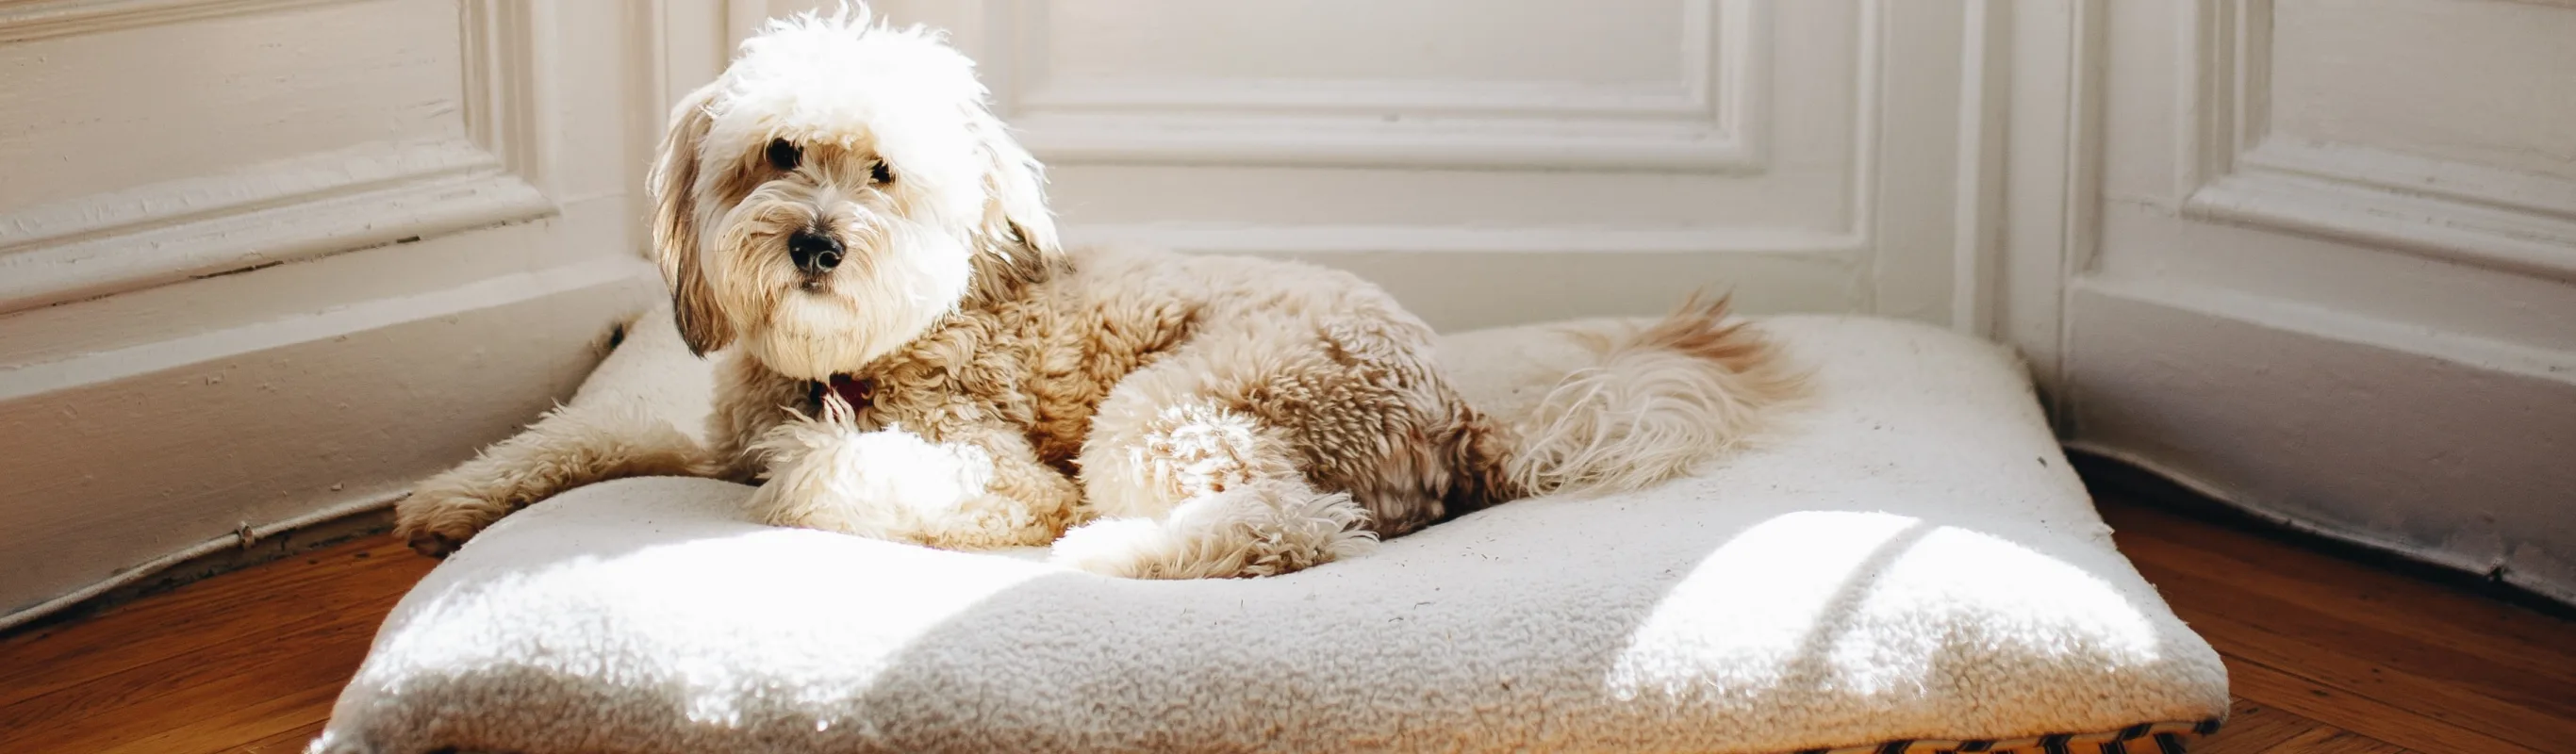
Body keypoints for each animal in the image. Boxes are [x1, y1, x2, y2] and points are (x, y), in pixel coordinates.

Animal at [391, 7, 1803, 576]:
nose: (817, 244)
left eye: (883, 173)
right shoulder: (702, 433)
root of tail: (1458, 414)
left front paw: (827, 464)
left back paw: (1112, 553)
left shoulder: (992, 470)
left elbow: (827, 475)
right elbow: (587, 433)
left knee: (1288, 527)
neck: (843, 358)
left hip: (1173, 407)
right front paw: (452, 496)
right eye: (777, 154)